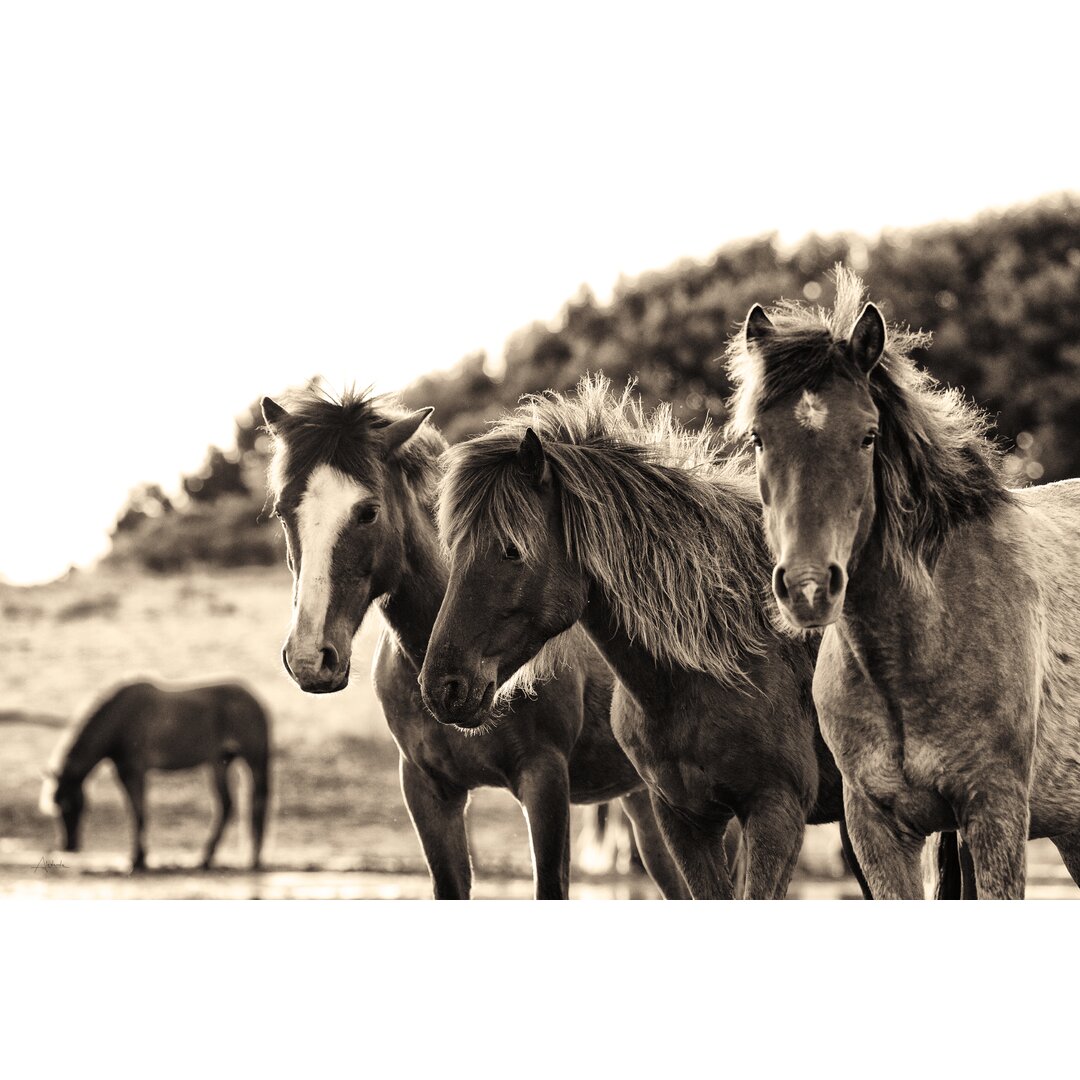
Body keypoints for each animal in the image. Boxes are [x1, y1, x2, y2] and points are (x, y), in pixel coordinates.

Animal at [41, 678, 270, 872]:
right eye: (55, 808)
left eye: (73, 806)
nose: (68, 846)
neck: (121, 718)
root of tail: (255, 701)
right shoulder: (123, 772)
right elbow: (134, 811)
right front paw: (138, 857)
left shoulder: (134, 772)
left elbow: (138, 812)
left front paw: (138, 860)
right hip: (220, 763)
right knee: (227, 805)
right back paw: (210, 859)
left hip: (252, 762)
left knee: (254, 802)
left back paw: (238, 859)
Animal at [257, 384, 686, 898]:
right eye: (283, 512)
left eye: (368, 512)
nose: (309, 658)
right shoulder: (428, 791)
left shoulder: (544, 781)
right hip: (647, 807)